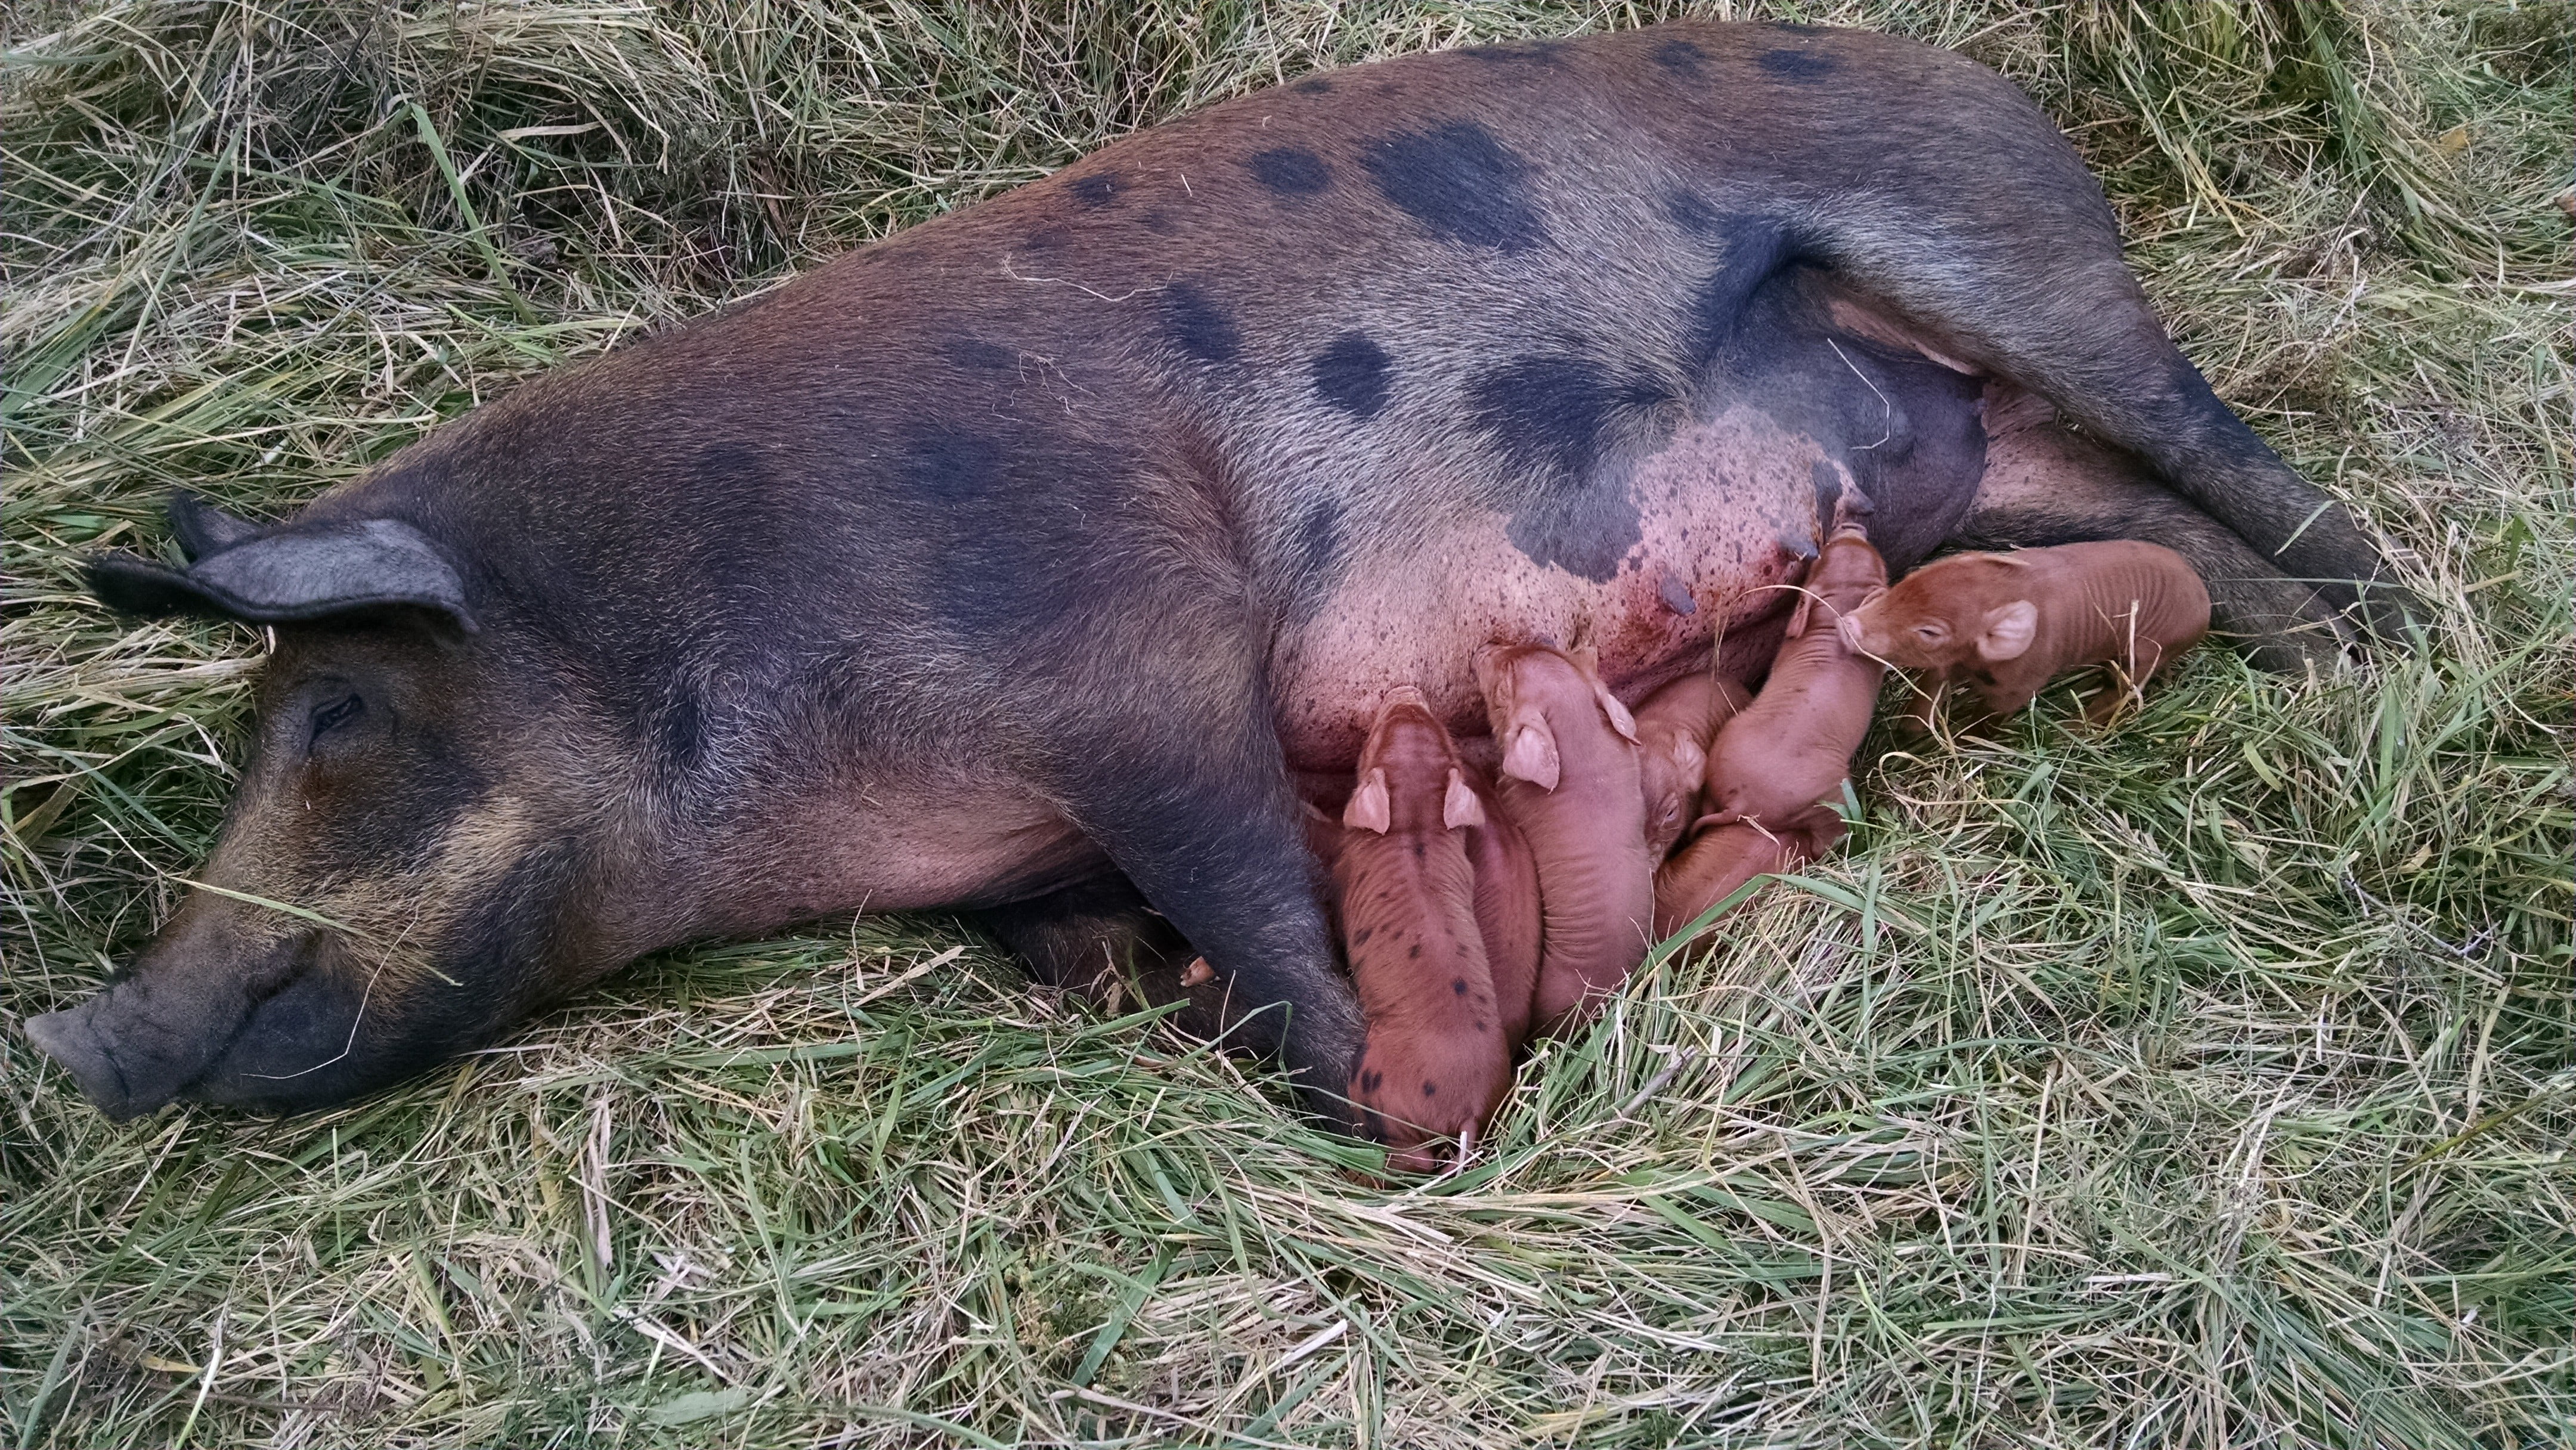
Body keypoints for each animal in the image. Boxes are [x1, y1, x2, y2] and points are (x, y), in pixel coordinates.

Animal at [35, 25, 2390, 1133]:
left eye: (334, 710)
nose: (76, 1038)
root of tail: (1983, 79)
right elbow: (1112, 945)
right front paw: (1156, 996)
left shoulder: (1126, 644)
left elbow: (1256, 901)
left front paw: (1396, 1098)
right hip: (1970, 466)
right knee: (2143, 522)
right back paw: (2296, 658)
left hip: (2009, 253)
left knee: (2238, 460)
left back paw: (2390, 635)